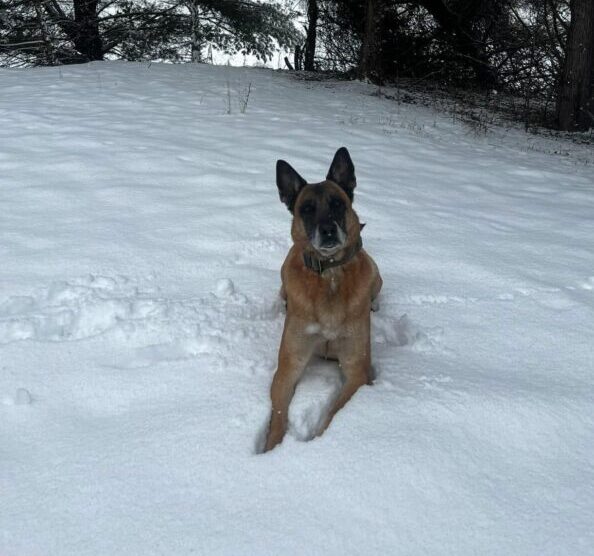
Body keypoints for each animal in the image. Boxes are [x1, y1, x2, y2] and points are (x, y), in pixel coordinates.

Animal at [262, 148, 382, 452]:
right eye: (306, 209)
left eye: (338, 204)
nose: (328, 230)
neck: (329, 276)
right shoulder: (289, 365)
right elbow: (278, 414)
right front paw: (271, 449)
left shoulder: (357, 369)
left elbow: (334, 411)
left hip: (375, 273)